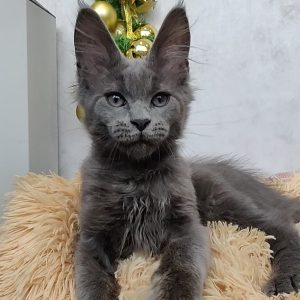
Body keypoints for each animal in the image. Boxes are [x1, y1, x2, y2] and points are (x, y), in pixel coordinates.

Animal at [74, 4, 300, 300]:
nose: (140, 122)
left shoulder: (188, 227)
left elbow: (181, 265)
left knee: (281, 226)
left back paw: (287, 277)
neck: (137, 178)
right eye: (115, 99)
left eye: (160, 99)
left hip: (225, 203)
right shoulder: (90, 235)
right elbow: (90, 278)